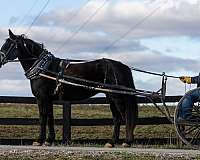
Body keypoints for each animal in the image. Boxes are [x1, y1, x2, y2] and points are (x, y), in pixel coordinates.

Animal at [0, 29, 138, 148]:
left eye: (8, 45)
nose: (0, 60)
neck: (43, 68)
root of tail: (122, 66)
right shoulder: (47, 99)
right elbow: (48, 117)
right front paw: (48, 140)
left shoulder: (42, 97)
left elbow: (43, 117)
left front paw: (41, 140)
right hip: (110, 96)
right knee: (117, 118)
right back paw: (111, 142)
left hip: (117, 97)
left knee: (125, 116)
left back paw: (127, 142)